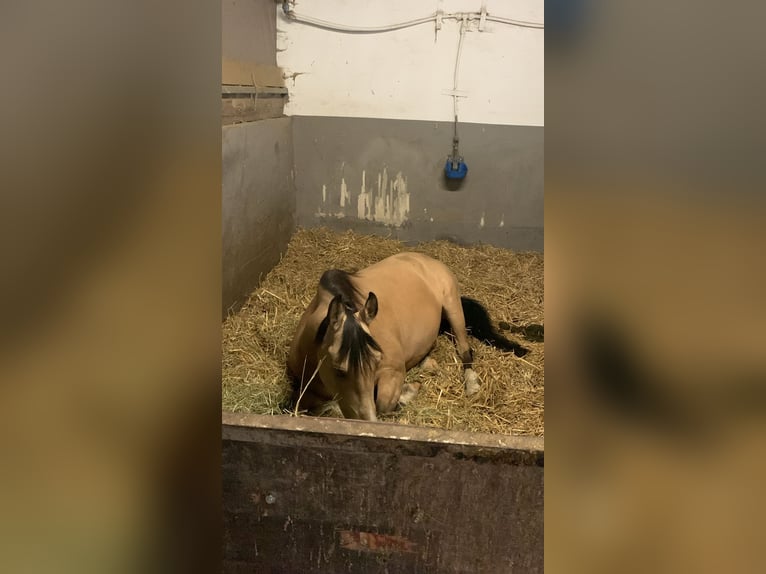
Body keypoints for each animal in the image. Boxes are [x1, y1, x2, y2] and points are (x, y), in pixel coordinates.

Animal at [288, 254, 528, 420]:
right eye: (338, 369)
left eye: (377, 361)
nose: (367, 421)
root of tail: (426, 259)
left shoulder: (392, 372)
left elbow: (382, 405)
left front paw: (409, 392)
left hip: (453, 307)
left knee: (464, 350)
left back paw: (472, 385)